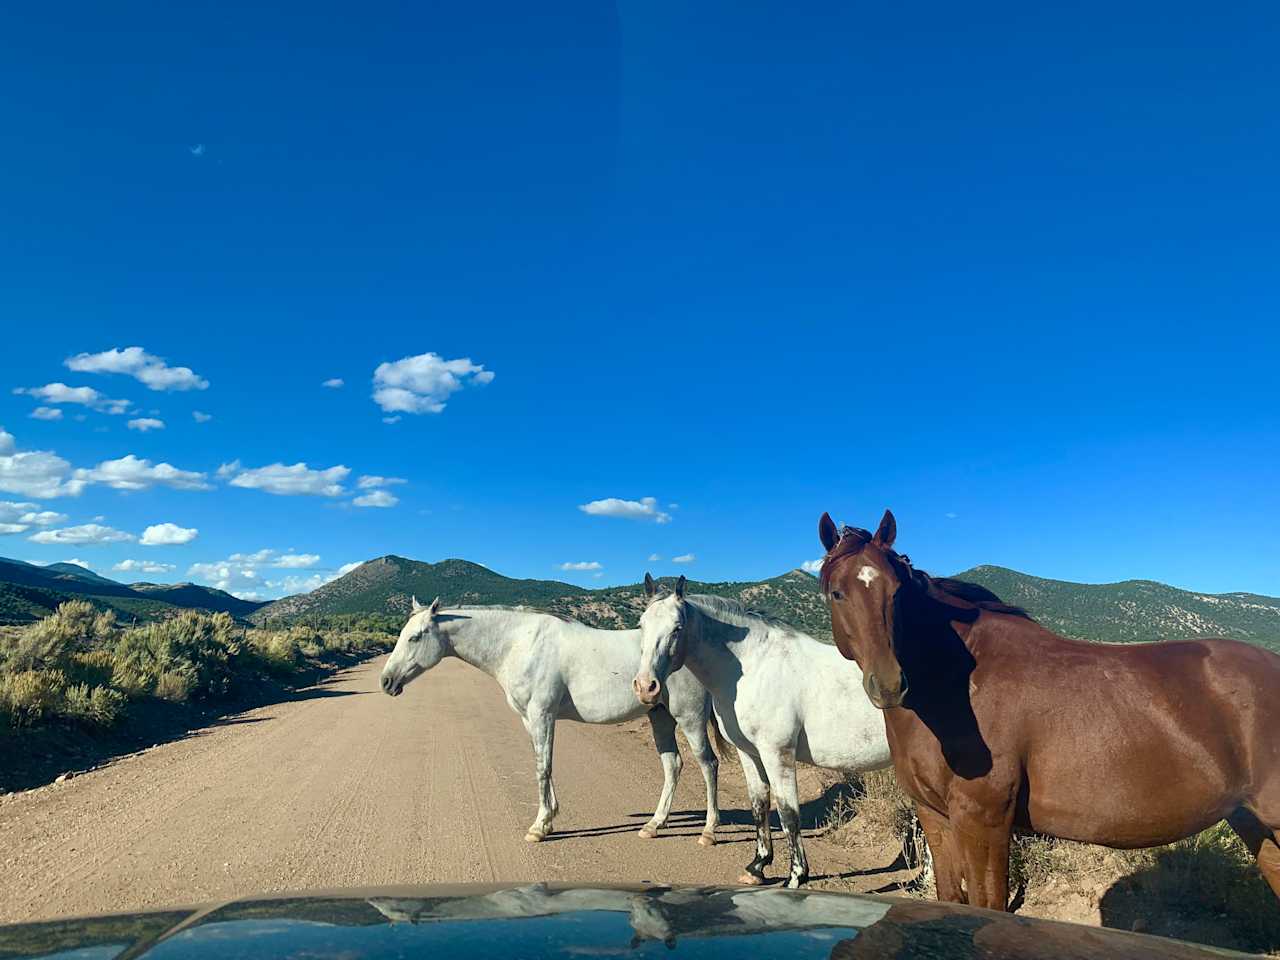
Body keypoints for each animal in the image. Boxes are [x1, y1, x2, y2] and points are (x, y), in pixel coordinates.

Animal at [378, 599, 721, 844]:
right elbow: (543, 764)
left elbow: (542, 768)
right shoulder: (530, 719)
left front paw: (538, 827)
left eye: (415, 637)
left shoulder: (542, 714)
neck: (519, 644)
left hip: (689, 718)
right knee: (673, 765)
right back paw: (653, 825)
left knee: (708, 765)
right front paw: (549, 819)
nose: (386, 681)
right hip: (659, 717)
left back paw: (709, 831)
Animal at [629, 576, 890, 890]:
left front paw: (796, 877)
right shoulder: (748, 752)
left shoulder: (777, 753)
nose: (646, 687)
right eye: (641, 625)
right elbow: (759, 803)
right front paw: (757, 866)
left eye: (677, 627)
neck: (756, 666)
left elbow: (788, 813)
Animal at [814, 506, 1280, 911]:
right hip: (1256, 826)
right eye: (838, 593)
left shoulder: (983, 821)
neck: (956, 689)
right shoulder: (936, 817)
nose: (890, 685)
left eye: (896, 592)